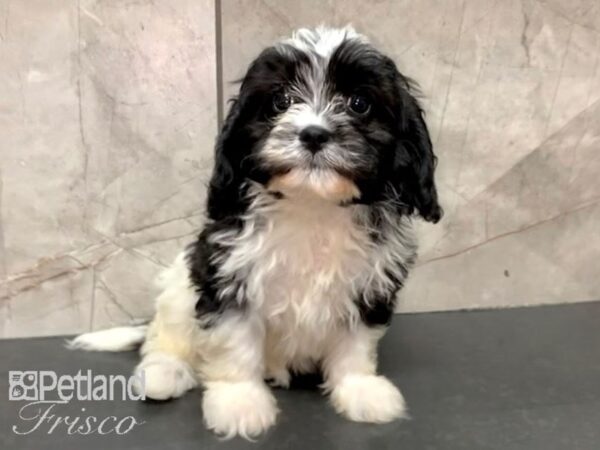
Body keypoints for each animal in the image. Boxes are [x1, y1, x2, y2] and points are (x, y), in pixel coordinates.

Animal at [72, 26, 442, 438]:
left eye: (359, 103)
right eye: (281, 101)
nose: (314, 134)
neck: (312, 204)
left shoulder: (369, 284)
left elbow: (356, 342)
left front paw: (360, 388)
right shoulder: (228, 275)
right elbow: (236, 342)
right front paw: (239, 402)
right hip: (179, 289)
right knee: (165, 337)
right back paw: (163, 372)